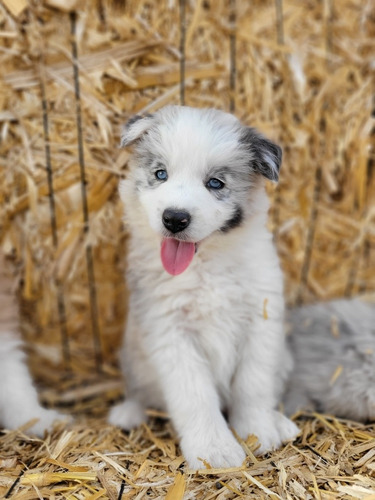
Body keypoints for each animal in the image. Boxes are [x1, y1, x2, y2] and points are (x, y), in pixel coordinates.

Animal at [109, 105, 300, 468]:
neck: (206, 265)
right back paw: (128, 413)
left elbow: (253, 384)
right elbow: (195, 396)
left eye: (215, 183)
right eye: (160, 174)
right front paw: (215, 451)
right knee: (139, 392)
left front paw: (257, 431)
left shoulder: (260, 321)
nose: (174, 218)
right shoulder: (171, 332)